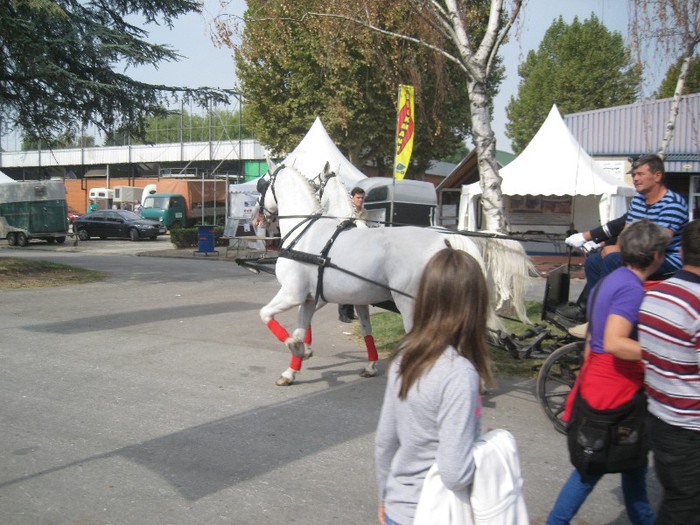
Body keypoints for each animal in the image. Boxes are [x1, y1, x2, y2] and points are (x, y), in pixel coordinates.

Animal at [258, 163, 524, 384]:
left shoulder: (293, 294)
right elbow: (309, 328)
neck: (306, 233)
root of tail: (446, 240)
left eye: (261, 184)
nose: (259, 217)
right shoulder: (313, 298)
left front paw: (296, 346)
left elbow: (266, 315)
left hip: (410, 305)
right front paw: (293, 367)